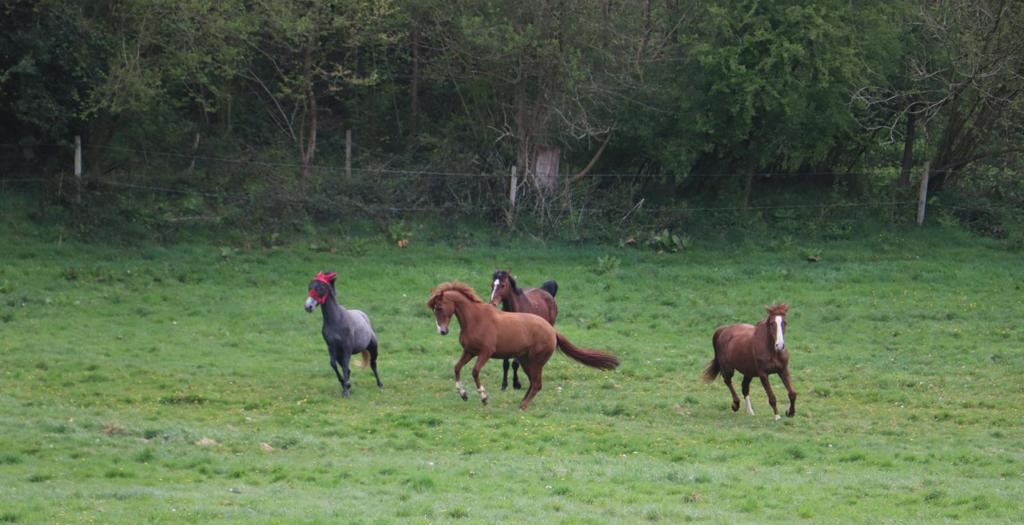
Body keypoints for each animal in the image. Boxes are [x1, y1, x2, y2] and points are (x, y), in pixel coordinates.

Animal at [425, 282, 614, 409]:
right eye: (434, 309)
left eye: (440, 307)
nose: (442, 331)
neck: (476, 319)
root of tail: (552, 331)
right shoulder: (469, 351)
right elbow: (457, 368)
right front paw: (463, 394)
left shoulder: (486, 352)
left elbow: (475, 371)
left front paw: (484, 397)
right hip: (525, 361)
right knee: (533, 383)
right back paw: (522, 402)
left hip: (536, 361)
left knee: (537, 384)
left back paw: (523, 406)